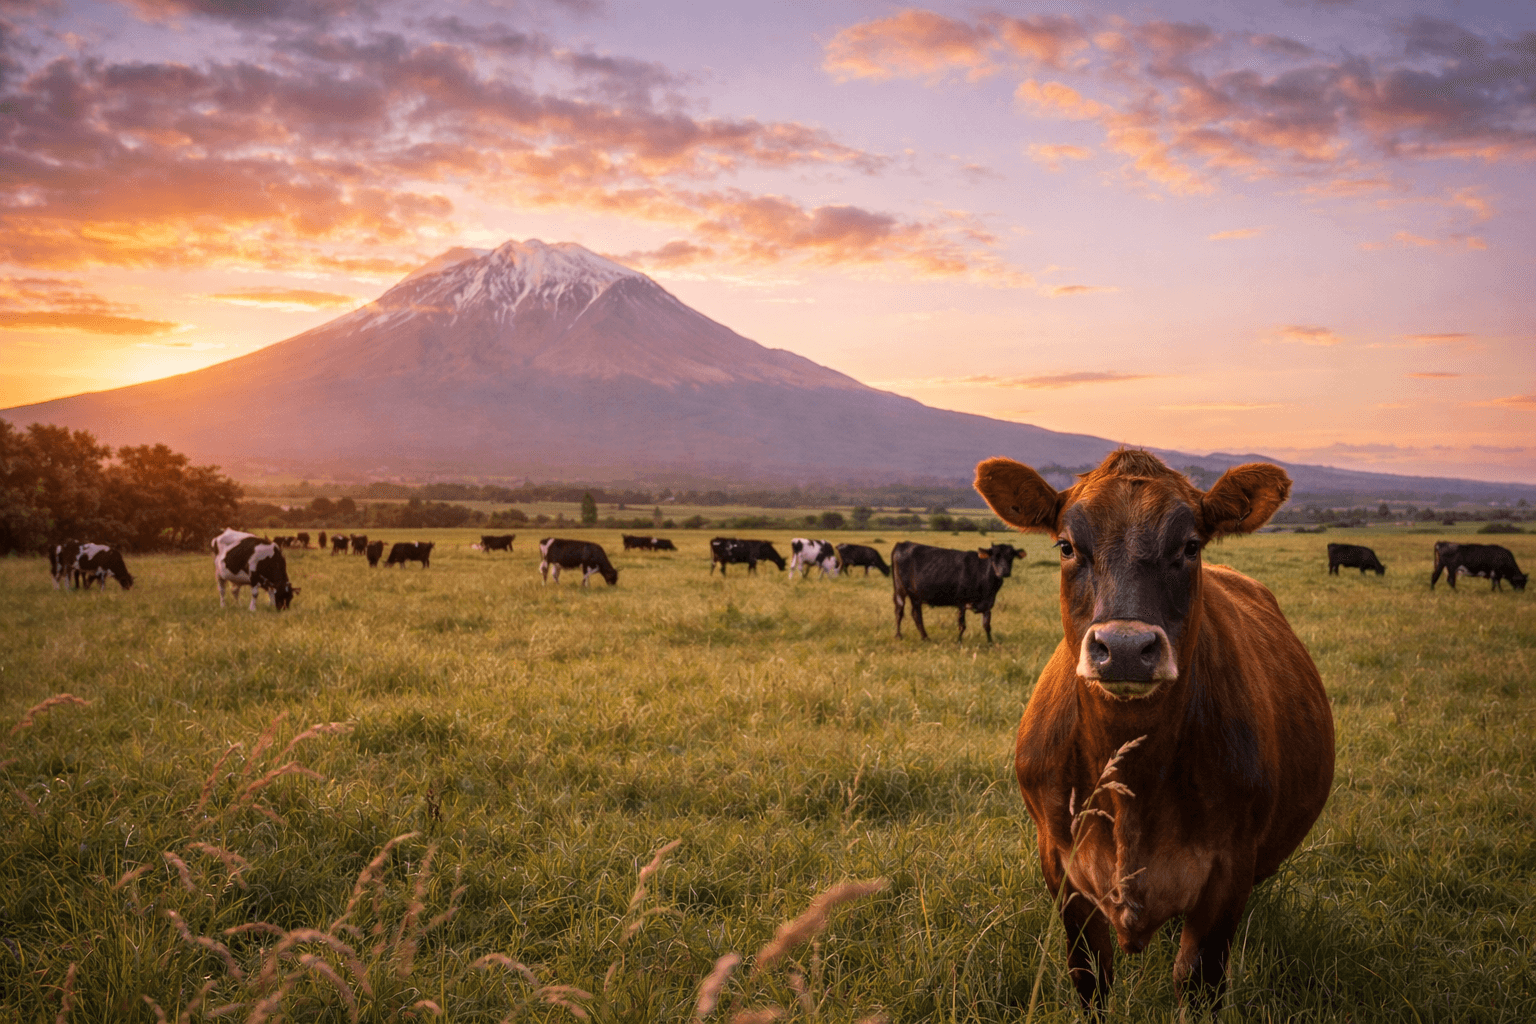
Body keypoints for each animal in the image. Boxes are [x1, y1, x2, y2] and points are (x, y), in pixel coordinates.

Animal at [891, 541, 1021, 642]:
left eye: (1011, 557)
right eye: (994, 557)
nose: (1004, 571)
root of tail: (903, 544)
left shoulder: (988, 604)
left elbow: (987, 626)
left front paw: (990, 643)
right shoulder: (961, 602)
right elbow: (962, 626)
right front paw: (958, 642)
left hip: (916, 595)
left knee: (916, 614)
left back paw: (925, 638)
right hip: (900, 589)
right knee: (899, 611)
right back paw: (898, 636)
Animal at [973, 447, 1334, 1015]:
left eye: (1190, 546)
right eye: (1067, 545)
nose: (1124, 648)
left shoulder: (1228, 871)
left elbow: (1199, 982)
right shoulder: (1062, 866)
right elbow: (1090, 979)